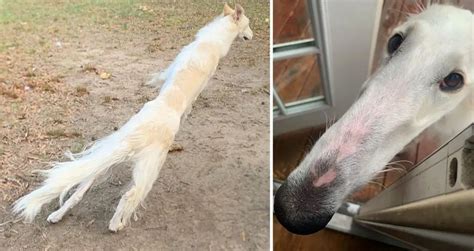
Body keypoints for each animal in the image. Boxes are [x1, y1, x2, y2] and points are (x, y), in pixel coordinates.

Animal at [12, 2, 254, 232]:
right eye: (248, 24)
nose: (252, 36)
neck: (212, 39)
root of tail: (138, 137)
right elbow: (176, 93)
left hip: (111, 158)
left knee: (83, 188)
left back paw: (58, 215)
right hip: (150, 168)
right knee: (129, 196)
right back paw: (115, 225)